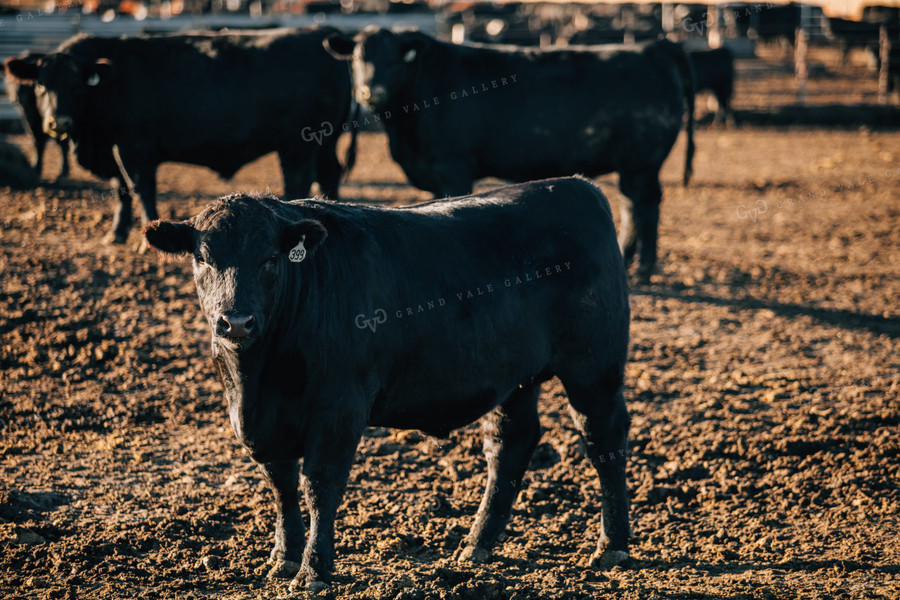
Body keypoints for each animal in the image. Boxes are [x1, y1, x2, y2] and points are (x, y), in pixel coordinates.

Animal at [3, 51, 71, 179]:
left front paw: (64, 171)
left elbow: (62, 142)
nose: (19, 96)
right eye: (10, 80)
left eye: (30, 82)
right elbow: (37, 141)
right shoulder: (30, 120)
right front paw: (36, 168)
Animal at [326, 27, 696, 280]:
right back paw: (627, 258)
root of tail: (654, 47)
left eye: (393, 60)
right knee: (631, 205)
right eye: (357, 58)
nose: (370, 92)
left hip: (643, 163)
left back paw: (644, 268)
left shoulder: (453, 166)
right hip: (630, 165)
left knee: (647, 205)